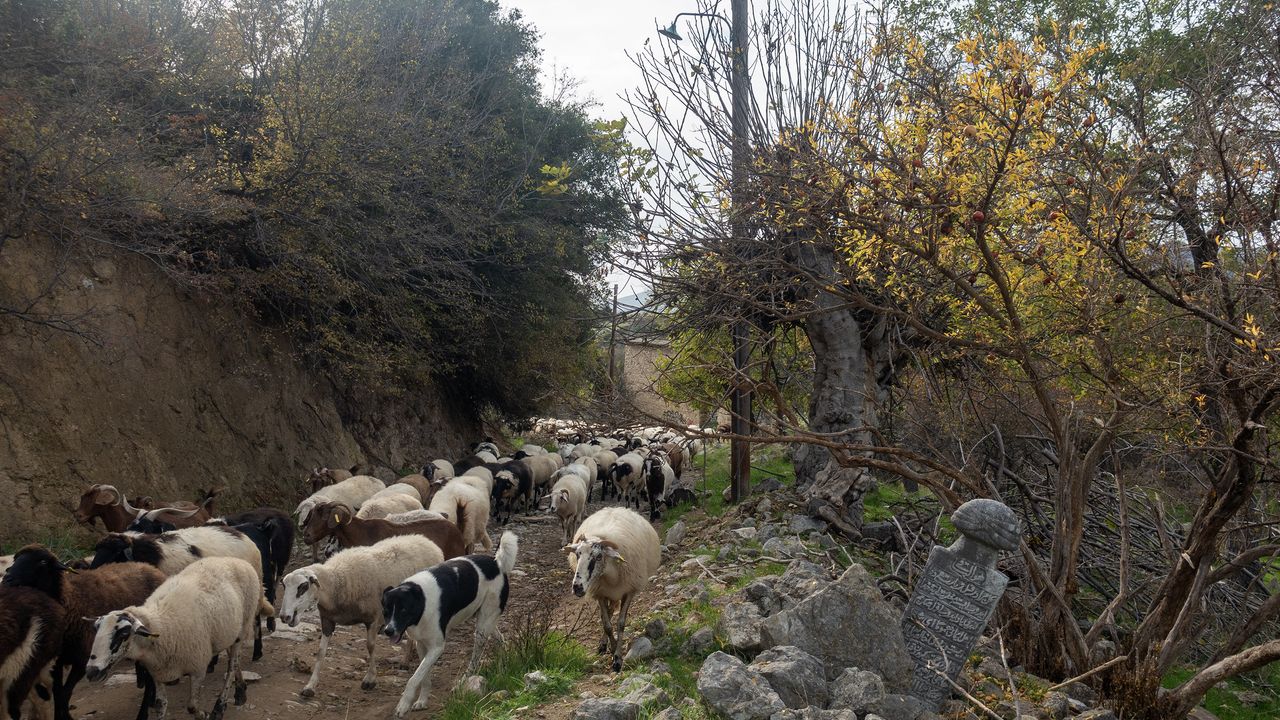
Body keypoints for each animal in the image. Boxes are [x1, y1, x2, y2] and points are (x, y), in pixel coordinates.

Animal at [84, 557, 274, 720]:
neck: (161, 627)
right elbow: (161, 704)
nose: (91, 671)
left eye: (123, 633)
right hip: (228, 631)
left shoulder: (198, 667)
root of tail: (239, 561)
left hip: (243, 627)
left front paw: (204, 714)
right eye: (96, 629)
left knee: (232, 665)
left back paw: (219, 707)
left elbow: (192, 706)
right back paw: (241, 691)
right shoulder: (158, 672)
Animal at [278, 535, 445, 698]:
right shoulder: (327, 620)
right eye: (284, 586)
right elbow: (320, 653)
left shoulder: (373, 618)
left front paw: (370, 679)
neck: (336, 583)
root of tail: (428, 542)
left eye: (303, 587)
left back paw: (408, 661)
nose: (284, 617)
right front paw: (310, 686)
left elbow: (370, 646)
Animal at [381, 532, 518, 718]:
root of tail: (495, 562)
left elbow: (414, 678)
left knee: (476, 656)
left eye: (403, 610)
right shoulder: (422, 645)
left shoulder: (437, 647)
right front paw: (422, 701)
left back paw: (464, 680)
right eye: (386, 611)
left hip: (482, 628)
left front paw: (403, 705)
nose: (388, 631)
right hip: (485, 620)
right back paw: (503, 665)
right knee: (501, 639)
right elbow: (424, 677)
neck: (421, 601)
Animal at [563, 507, 661, 672]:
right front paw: (613, 647)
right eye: (577, 554)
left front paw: (617, 659)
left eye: (598, 556)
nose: (577, 587)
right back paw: (603, 644)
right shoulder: (600, 593)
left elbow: (620, 623)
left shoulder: (629, 591)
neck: (610, 574)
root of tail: (618, 508)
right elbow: (607, 625)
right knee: (606, 615)